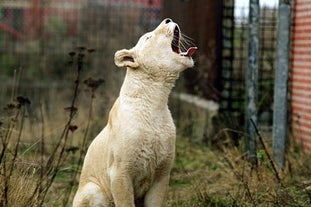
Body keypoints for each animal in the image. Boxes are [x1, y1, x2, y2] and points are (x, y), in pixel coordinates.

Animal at [73, 18, 197, 207]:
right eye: (148, 37)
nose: (168, 19)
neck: (156, 102)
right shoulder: (119, 173)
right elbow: (125, 202)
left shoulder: (161, 174)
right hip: (93, 190)